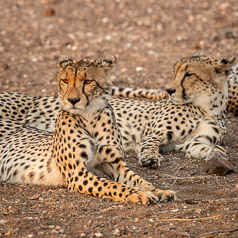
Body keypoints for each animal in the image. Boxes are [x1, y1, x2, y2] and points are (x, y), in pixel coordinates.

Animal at [0, 54, 234, 169]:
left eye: (189, 74)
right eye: (175, 72)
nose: (168, 90)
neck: (206, 107)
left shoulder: (192, 142)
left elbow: (208, 147)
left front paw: (219, 155)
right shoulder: (152, 134)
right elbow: (149, 146)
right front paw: (150, 158)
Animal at [0, 54, 175, 205]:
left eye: (88, 81)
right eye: (65, 80)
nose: (73, 100)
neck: (90, 117)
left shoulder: (114, 164)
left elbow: (140, 181)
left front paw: (158, 191)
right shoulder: (77, 173)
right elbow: (113, 185)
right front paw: (140, 194)